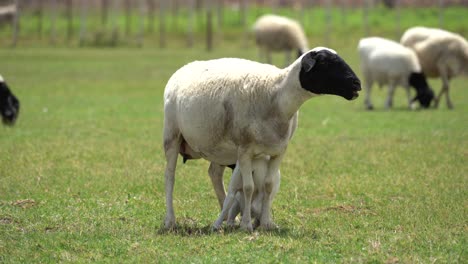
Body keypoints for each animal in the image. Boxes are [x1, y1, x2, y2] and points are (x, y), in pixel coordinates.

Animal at [162, 47, 362, 231]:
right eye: (326, 62)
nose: (357, 84)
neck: (277, 97)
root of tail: (182, 69)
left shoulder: (278, 151)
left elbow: (268, 185)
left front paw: (266, 223)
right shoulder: (244, 151)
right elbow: (249, 187)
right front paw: (246, 225)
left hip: (219, 148)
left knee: (215, 175)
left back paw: (226, 218)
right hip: (172, 135)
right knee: (170, 177)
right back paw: (170, 221)